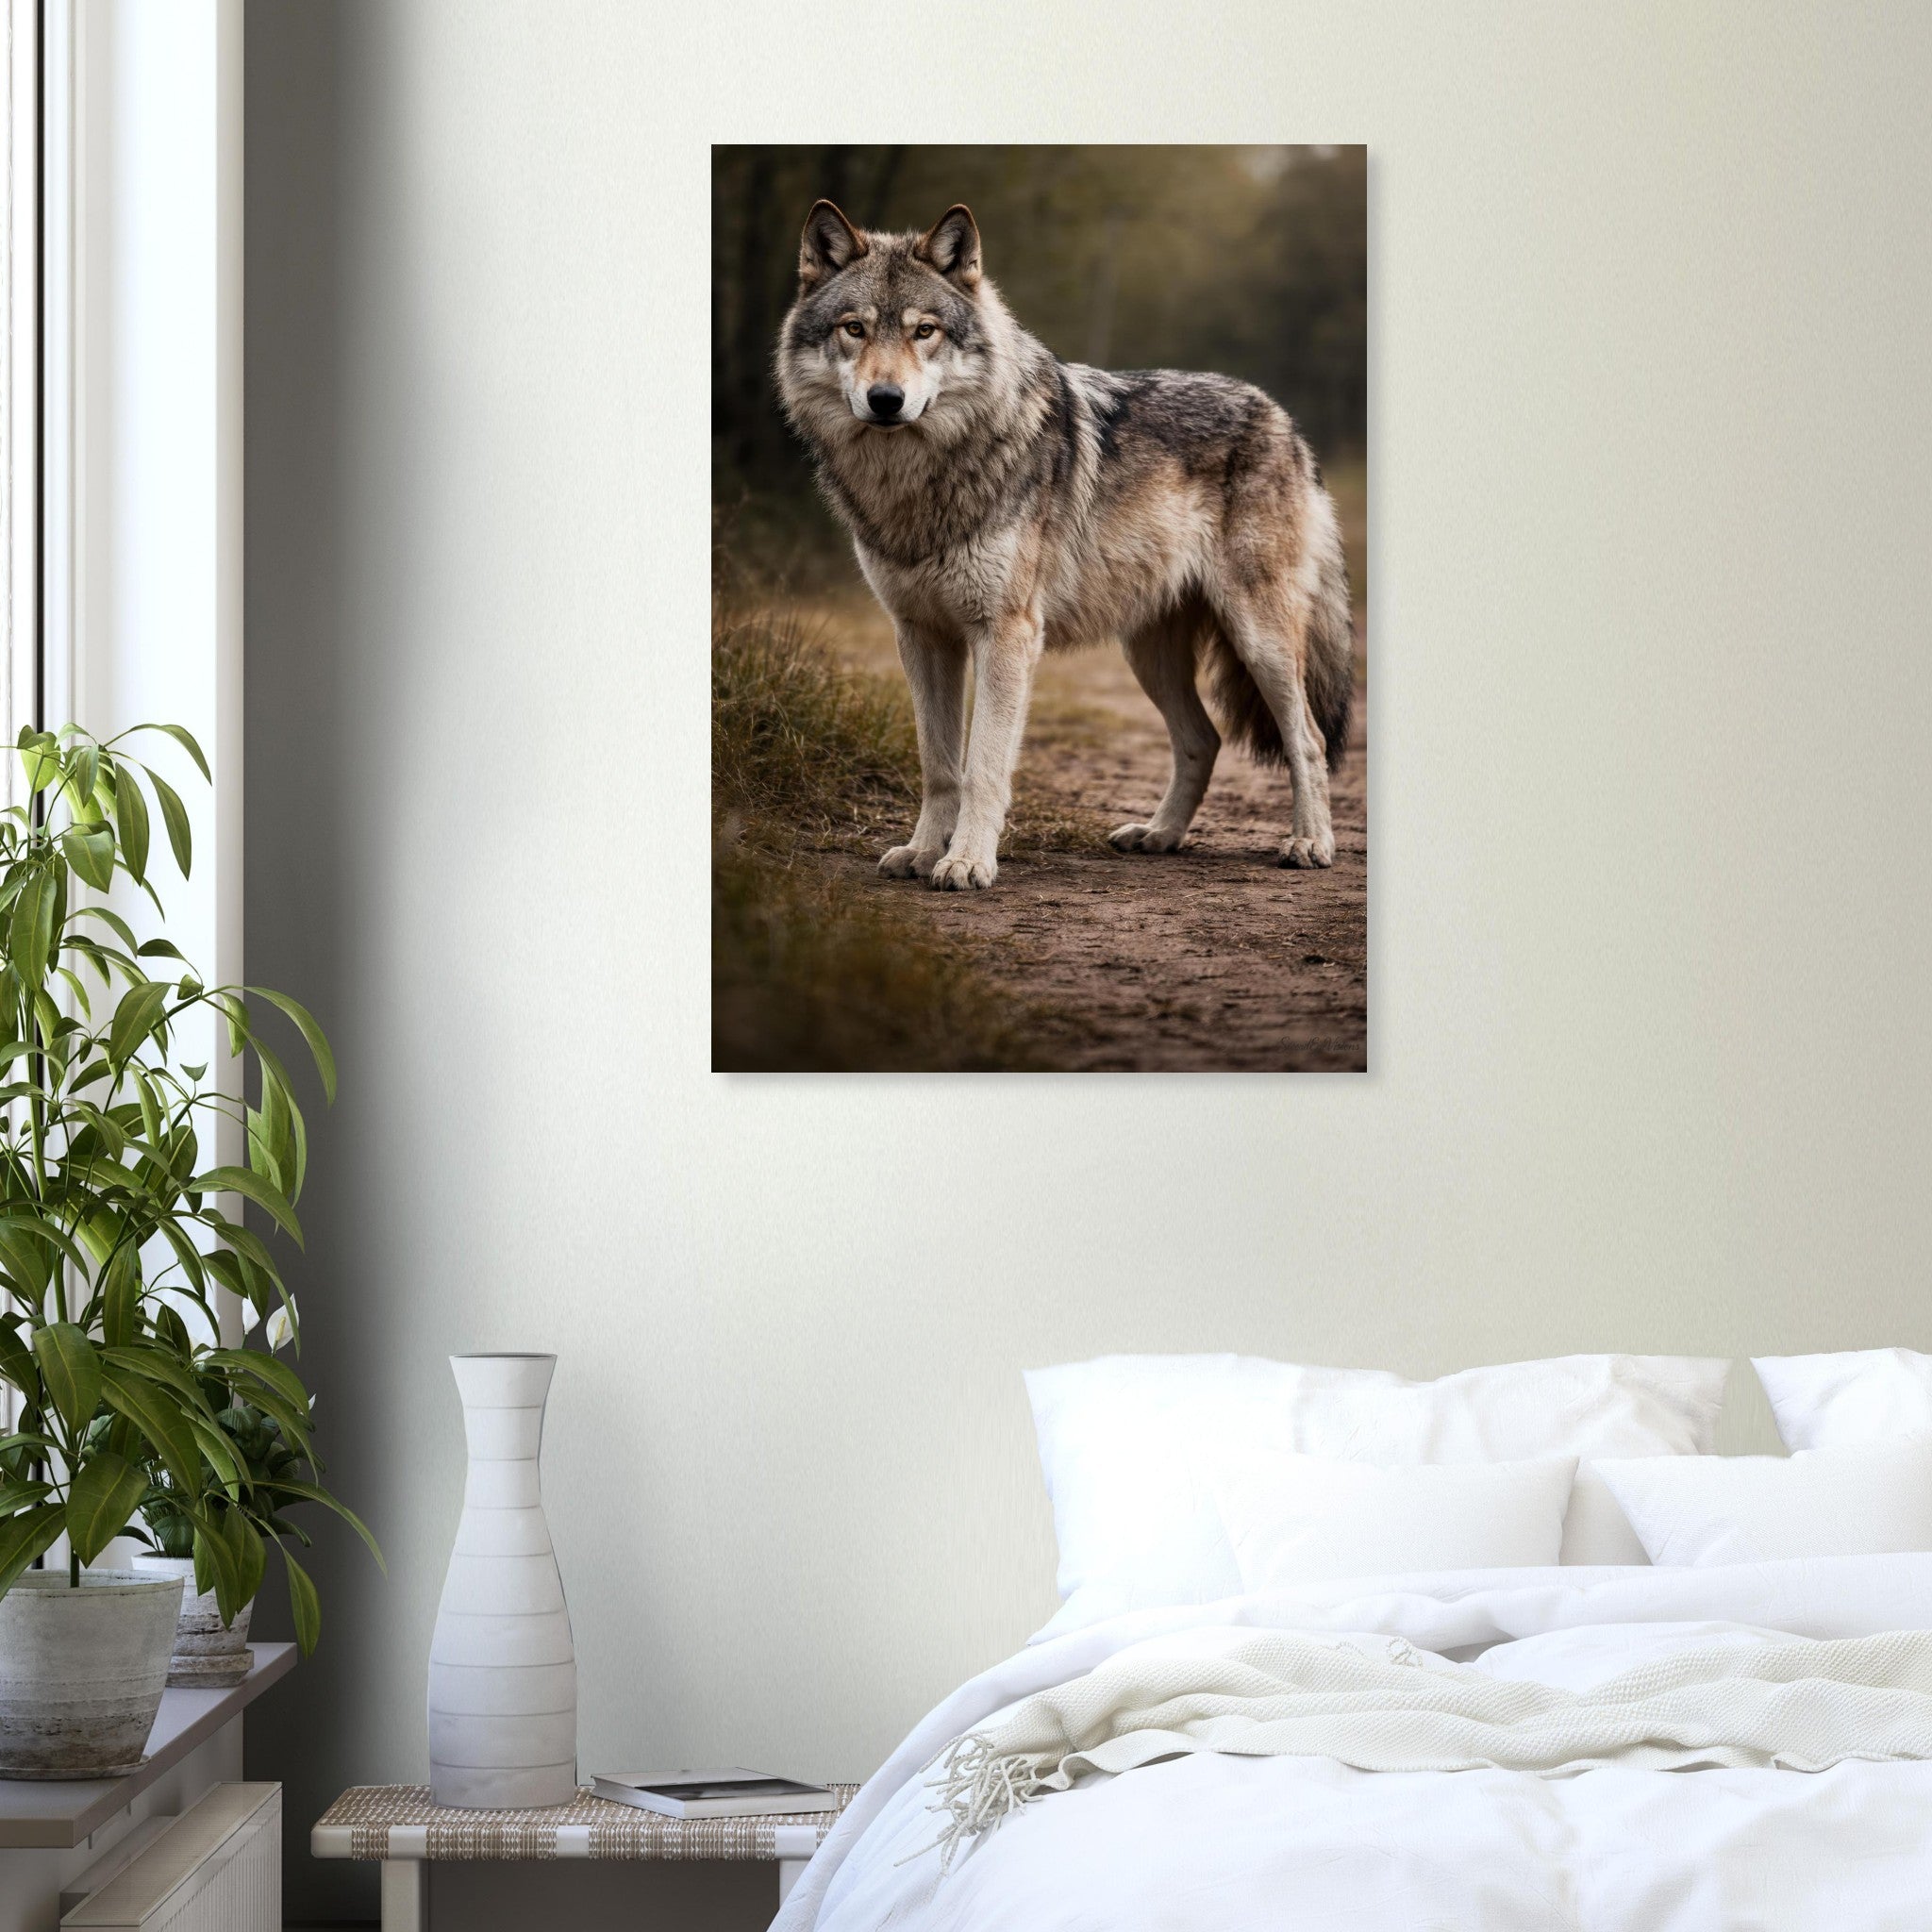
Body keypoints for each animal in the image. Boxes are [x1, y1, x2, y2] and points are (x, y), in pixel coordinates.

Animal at [775, 200, 1353, 891]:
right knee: (1203, 740)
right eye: (855, 329)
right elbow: (938, 765)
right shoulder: (920, 634)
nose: (886, 400)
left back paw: (1310, 842)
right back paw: (1159, 835)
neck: (919, 479)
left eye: (924, 332)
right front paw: (920, 852)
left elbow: (982, 766)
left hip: (1259, 640)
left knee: (1308, 740)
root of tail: (1283, 418)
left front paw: (966, 861)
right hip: (1149, 655)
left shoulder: (1006, 634)